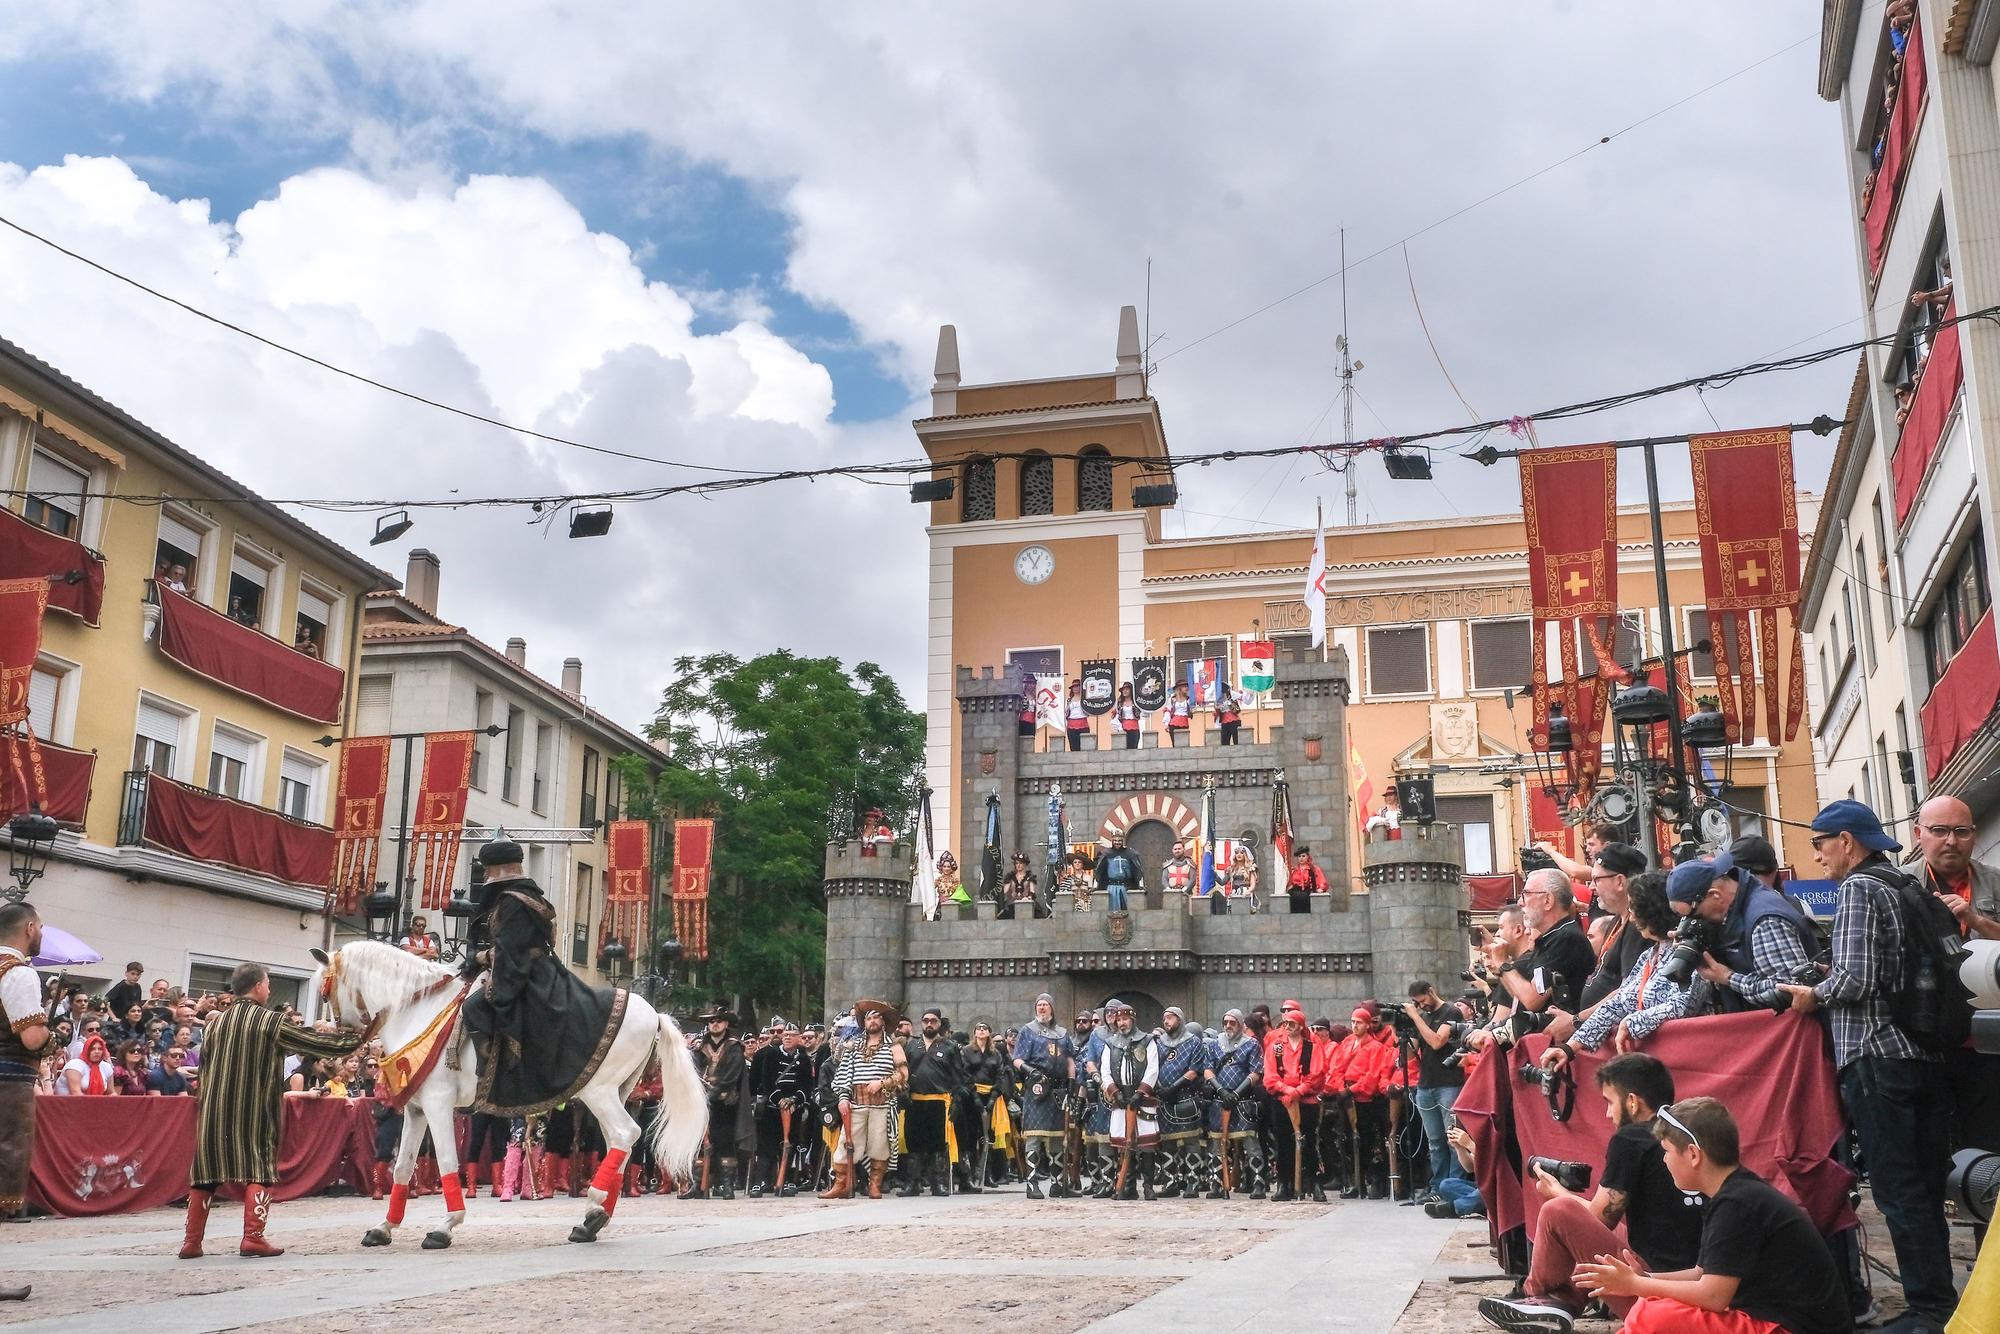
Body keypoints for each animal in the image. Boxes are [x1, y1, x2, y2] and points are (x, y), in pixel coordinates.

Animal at [314, 944, 712, 1248]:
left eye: (324, 990)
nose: (337, 1037)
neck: (419, 1010)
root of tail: (655, 1013)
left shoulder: (438, 1104)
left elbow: (447, 1160)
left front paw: (445, 1226)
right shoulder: (415, 1109)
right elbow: (403, 1166)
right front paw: (383, 1228)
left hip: (600, 1091)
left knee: (626, 1134)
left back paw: (596, 1202)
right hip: (618, 1091)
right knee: (621, 1143)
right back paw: (593, 1219)